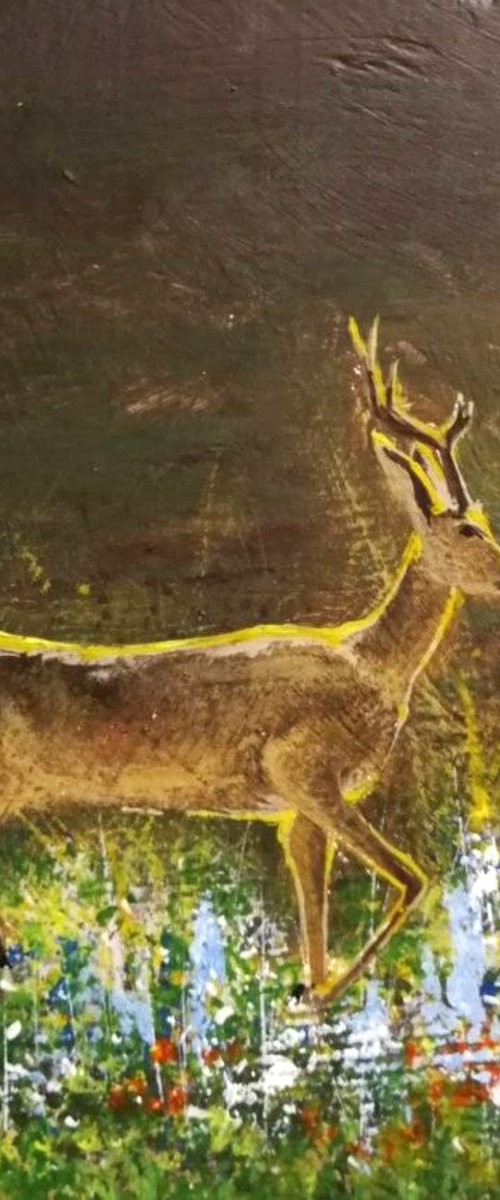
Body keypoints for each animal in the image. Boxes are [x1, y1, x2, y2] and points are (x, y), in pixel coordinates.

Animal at [0, 317, 498, 1007]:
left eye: (483, 519)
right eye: (469, 531)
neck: (369, 663)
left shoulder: (294, 812)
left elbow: (315, 914)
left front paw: (309, 993)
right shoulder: (304, 771)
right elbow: (411, 880)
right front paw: (321, 998)